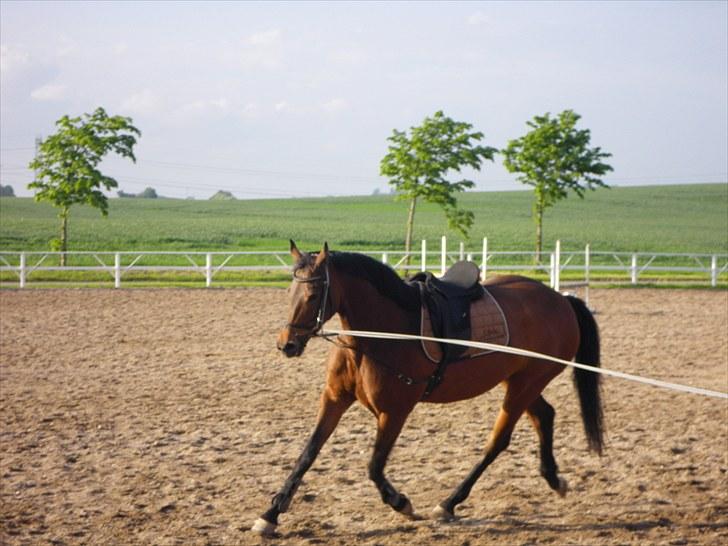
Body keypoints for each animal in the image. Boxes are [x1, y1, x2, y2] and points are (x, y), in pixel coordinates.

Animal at [250, 240, 604, 532]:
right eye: (289, 293)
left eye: (312, 296)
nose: (287, 344)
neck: (381, 332)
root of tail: (561, 299)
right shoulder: (335, 398)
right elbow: (308, 453)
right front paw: (271, 515)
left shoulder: (394, 411)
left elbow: (374, 466)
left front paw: (402, 504)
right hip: (521, 381)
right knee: (545, 416)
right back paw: (554, 479)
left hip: (526, 384)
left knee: (498, 442)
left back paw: (449, 503)